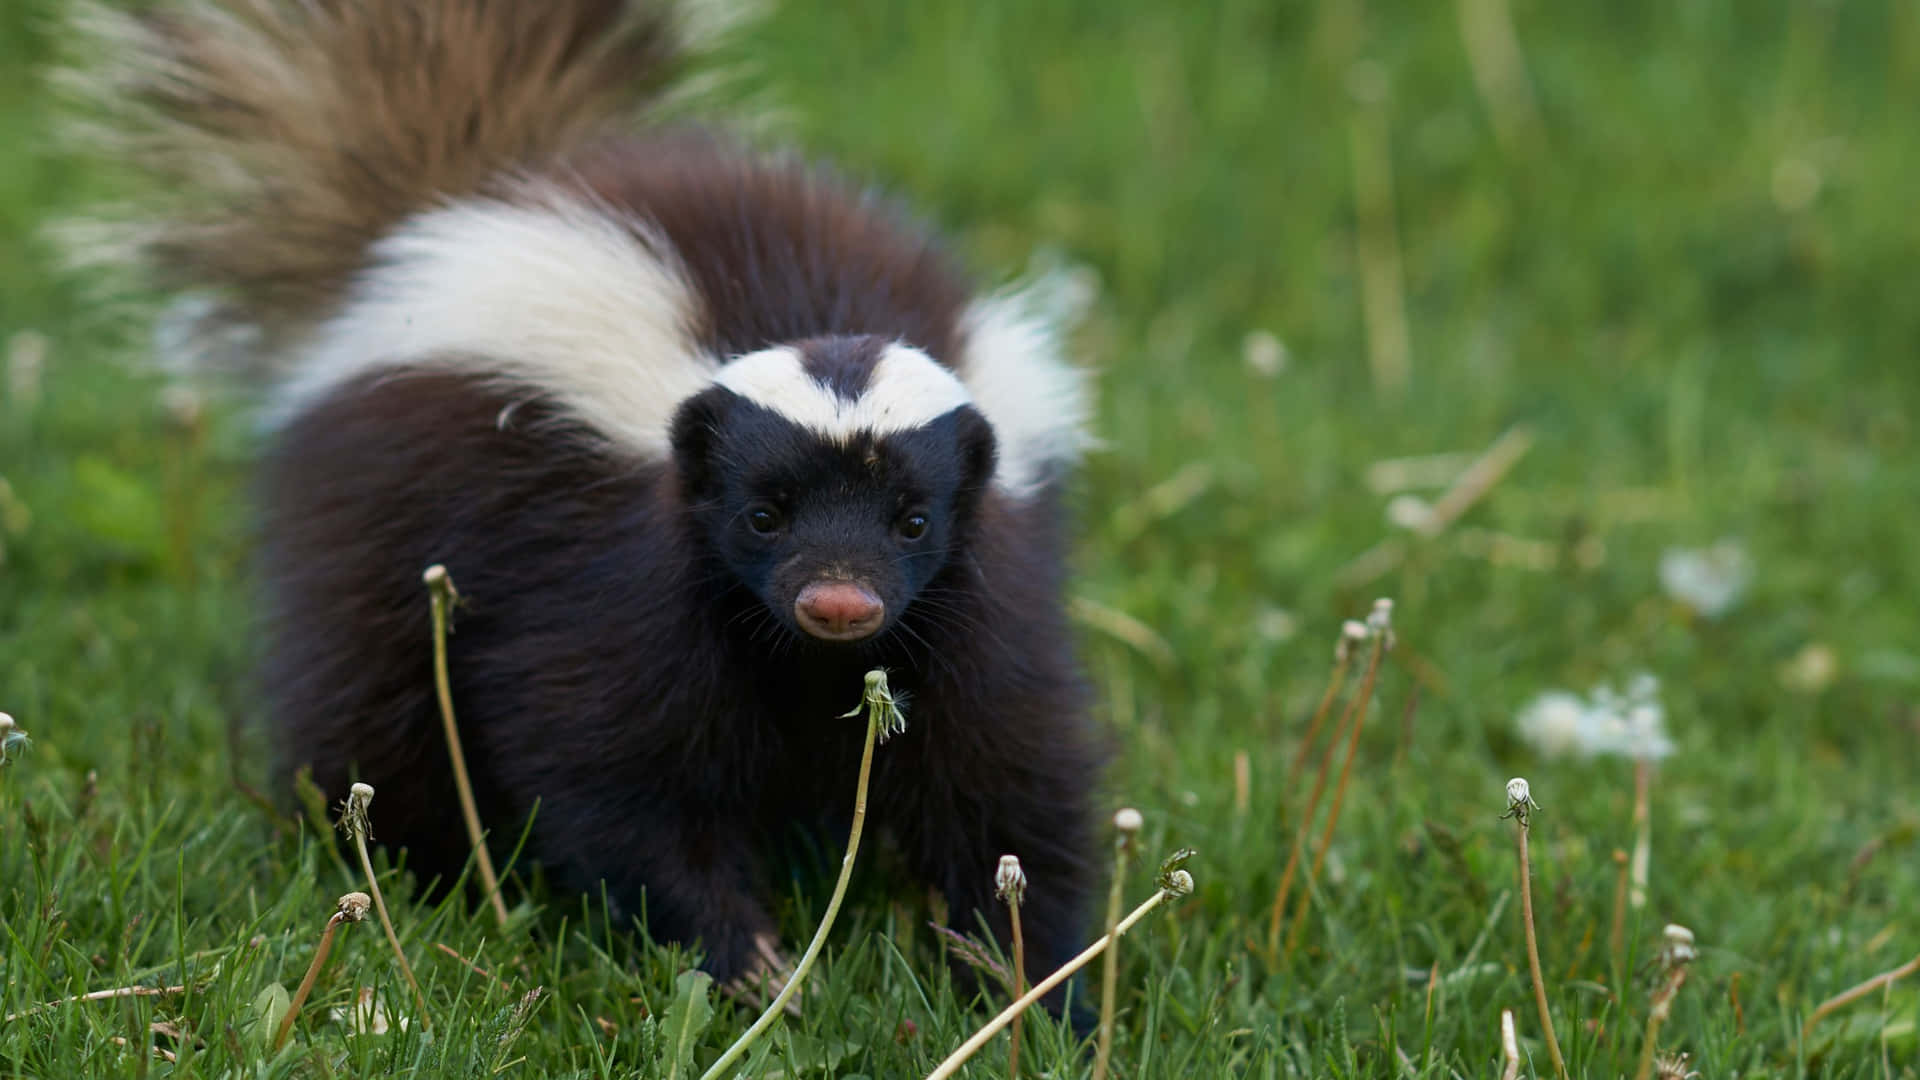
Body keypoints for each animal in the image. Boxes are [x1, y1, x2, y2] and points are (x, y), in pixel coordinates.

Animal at [67, 0, 1113, 1006]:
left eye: (914, 519)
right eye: (761, 515)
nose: (840, 601)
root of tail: (454, 208)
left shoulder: (978, 594)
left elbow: (1005, 775)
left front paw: (1035, 983)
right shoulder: (617, 581)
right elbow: (613, 767)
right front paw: (748, 960)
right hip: (379, 518)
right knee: (375, 702)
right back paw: (407, 866)